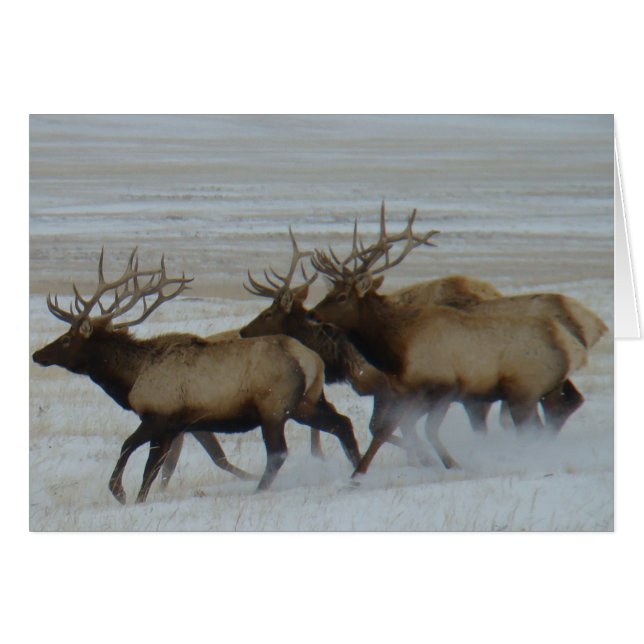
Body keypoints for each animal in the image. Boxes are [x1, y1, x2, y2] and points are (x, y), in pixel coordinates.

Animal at [32, 248, 361, 504]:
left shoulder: (159, 417)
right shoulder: (174, 427)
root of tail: (312, 359)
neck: (131, 378)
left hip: (274, 407)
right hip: (306, 403)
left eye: (66, 339)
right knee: (343, 423)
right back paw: (358, 469)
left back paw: (258, 489)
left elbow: (130, 449)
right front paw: (138, 499)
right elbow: (154, 470)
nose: (38, 355)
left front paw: (120, 493)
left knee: (279, 452)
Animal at [309, 208, 592, 475]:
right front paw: (357, 475)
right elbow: (384, 430)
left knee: (539, 424)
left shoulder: (446, 386)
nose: (311, 314)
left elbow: (427, 429)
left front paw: (451, 464)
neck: (398, 350)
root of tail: (572, 349)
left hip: (524, 391)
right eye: (329, 292)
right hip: (536, 392)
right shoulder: (405, 392)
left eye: (342, 296)